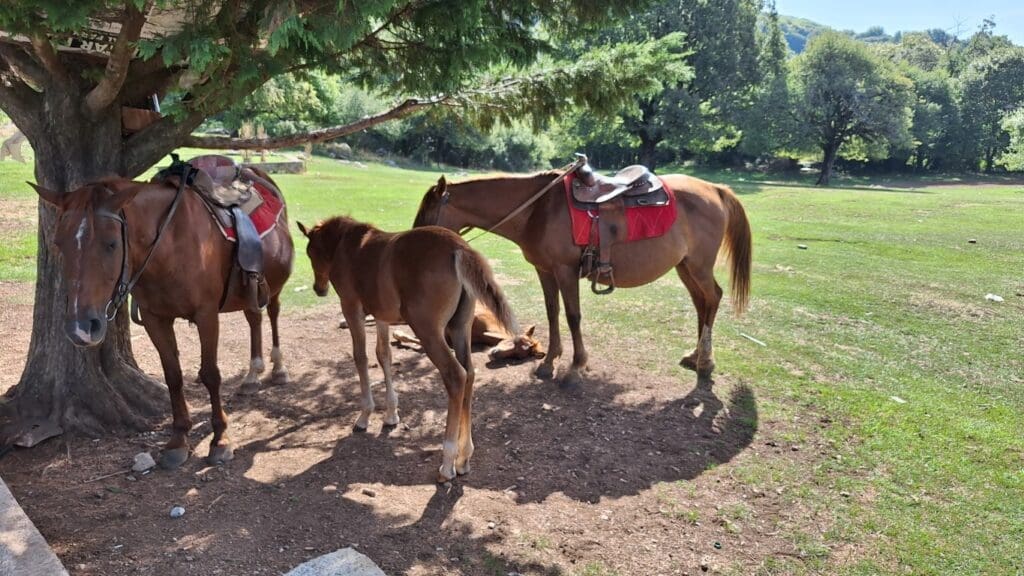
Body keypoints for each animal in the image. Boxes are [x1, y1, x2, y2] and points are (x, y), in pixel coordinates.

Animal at [32, 170, 293, 469]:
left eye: (111, 243)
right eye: (58, 243)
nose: (81, 328)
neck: (169, 245)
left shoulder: (206, 315)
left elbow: (210, 375)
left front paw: (220, 439)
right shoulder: (155, 319)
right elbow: (173, 376)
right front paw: (178, 439)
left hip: (273, 287)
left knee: (272, 314)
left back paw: (278, 368)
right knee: (253, 318)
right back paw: (252, 376)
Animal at [297, 216, 518, 482]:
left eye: (310, 252)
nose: (318, 289)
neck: (345, 244)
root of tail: (460, 249)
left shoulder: (351, 308)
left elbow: (360, 357)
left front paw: (364, 415)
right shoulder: (381, 315)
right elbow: (384, 356)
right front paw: (391, 414)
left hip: (427, 329)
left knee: (456, 375)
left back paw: (447, 464)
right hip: (460, 327)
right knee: (470, 374)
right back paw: (464, 458)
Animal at [413, 170, 751, 385]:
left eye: (428, 212)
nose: (415, 239)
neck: (537, 209)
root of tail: (716, 189)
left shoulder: (565, 271)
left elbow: (573, 316)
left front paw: (576, 367)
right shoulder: (545, 270)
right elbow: (553, 313)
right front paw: (549, 363)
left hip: (699, 266)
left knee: (713, 298)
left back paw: (705, 361)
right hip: (685, 267)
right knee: (701, 303)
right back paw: (696, 354)